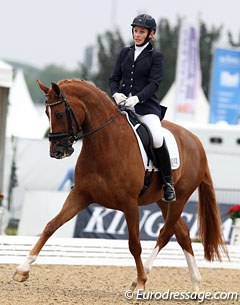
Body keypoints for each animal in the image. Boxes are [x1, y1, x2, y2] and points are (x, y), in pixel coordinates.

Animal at [13, 78, 227, 290]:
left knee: (165, 233)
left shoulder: (129, 204)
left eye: (58, 114)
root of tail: (196, 142)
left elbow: (135, 244)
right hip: (163, 201)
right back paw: (196, 285)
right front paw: (23, 269)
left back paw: (143, 277)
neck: (105, 144)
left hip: (179, 198)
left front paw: (140, 282)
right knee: (182, 233)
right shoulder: (81, 195)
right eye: (46, 113)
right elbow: (51, 225)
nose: (56, 151)